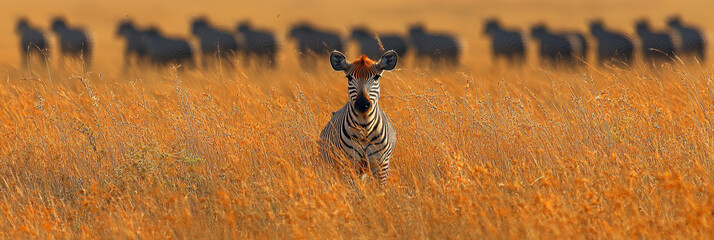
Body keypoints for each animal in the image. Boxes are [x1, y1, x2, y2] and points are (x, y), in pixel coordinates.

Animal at [320, 49, 398, 185]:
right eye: (349, 77)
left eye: (376, 77)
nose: (362, 103)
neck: (364, 127)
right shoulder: (348, 162)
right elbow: (353, 189)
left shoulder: (381, 164)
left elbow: (380, 188)